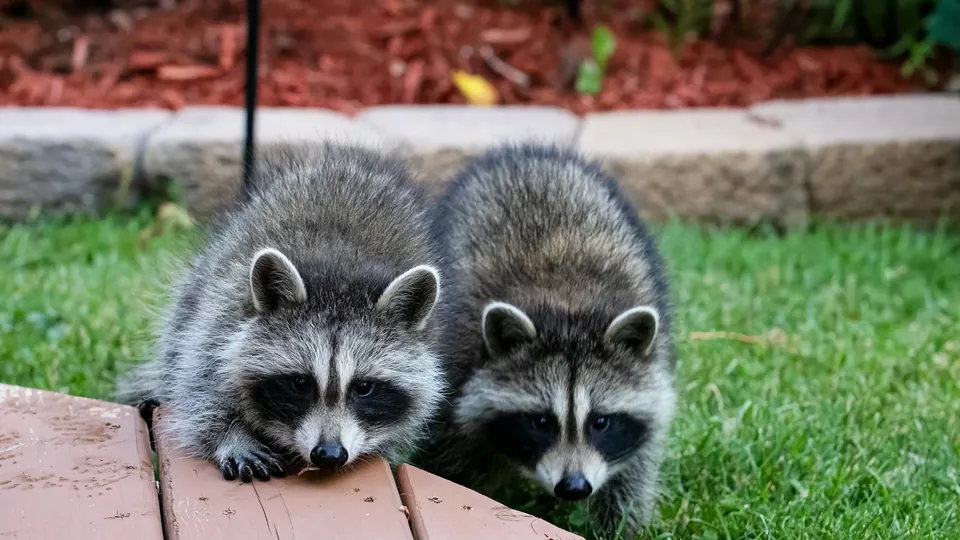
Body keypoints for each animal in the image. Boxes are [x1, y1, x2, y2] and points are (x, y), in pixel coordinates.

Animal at [115, 142, 444, 483]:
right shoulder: (222, 314)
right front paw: (231, 434)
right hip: (203, 277)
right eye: (300, 383)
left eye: (364, 388)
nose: (329, 454)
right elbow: (201, 387)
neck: (340, 277)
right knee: (178, 336)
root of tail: (342, 164)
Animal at [414, 143, 676, 537]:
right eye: (541, 422)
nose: (574, 487)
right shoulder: (457, 363)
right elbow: (448, 456)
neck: (567, 307)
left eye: (601, 422)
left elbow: (634, 469)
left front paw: (619, 525)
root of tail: (526, 151)